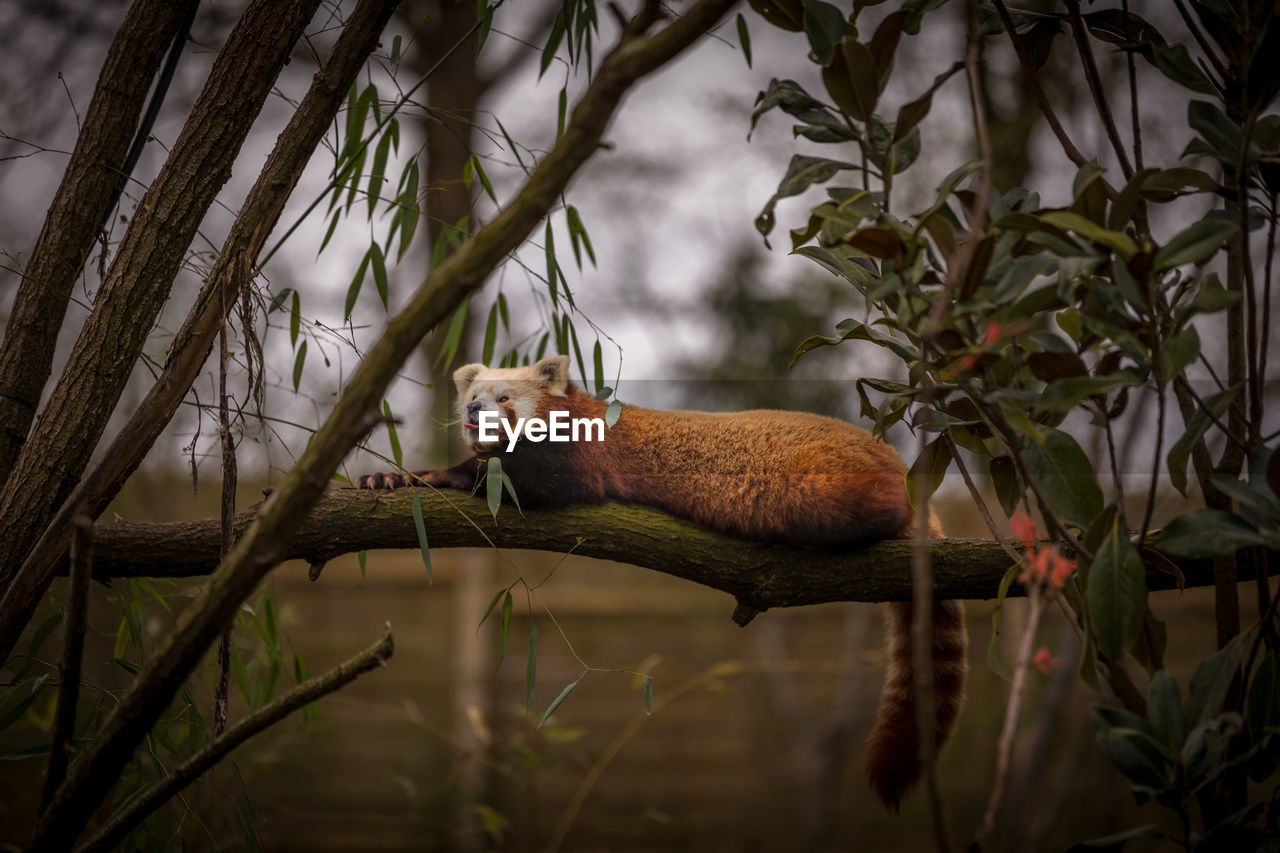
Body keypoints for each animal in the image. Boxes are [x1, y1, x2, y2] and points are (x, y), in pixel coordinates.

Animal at [355, 356, 962, 809]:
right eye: (475, 395)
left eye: (504, 399)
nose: (475, 409)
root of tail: (895, 461)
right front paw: (390, 476)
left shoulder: (579, 457)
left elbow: (535, 483)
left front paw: (443, 475)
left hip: (821, 486)